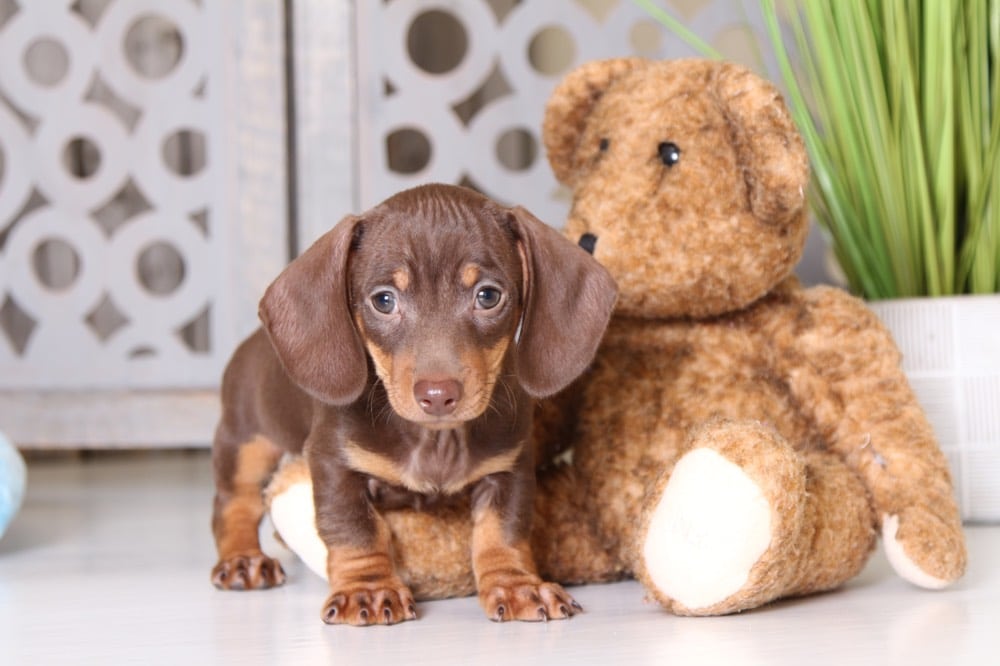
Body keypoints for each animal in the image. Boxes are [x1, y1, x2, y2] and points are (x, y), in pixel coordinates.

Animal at [209, 182, 616, 624]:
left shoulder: (509, 467)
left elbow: (504, 530)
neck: (435, 439)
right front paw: (369, 589)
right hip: (247, 439)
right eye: (384, 300)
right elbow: (355, 529)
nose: (438, 395)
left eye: (488, 296)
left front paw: (515, 584)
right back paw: (243, 559)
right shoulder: (334, 463)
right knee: (235, 502)